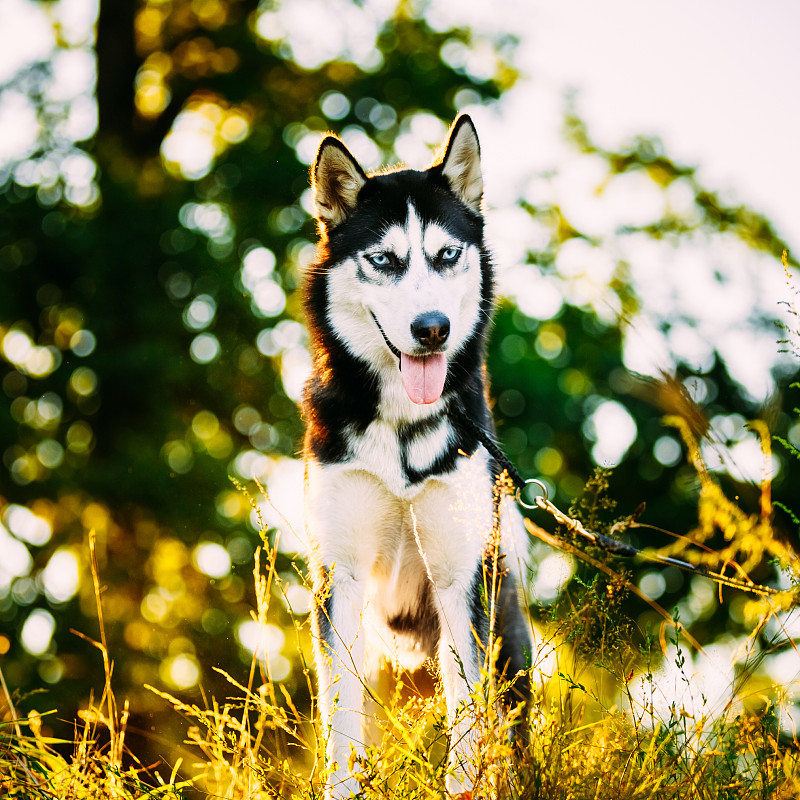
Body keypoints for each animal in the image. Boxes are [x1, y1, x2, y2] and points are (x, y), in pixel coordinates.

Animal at [304, 115, 528, 796]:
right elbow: (341, 718)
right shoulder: (341, 578)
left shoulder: (460, 579)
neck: (402, 429)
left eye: (446, 255)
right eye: (385, 260)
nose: (433, 329)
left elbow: (469, 714)